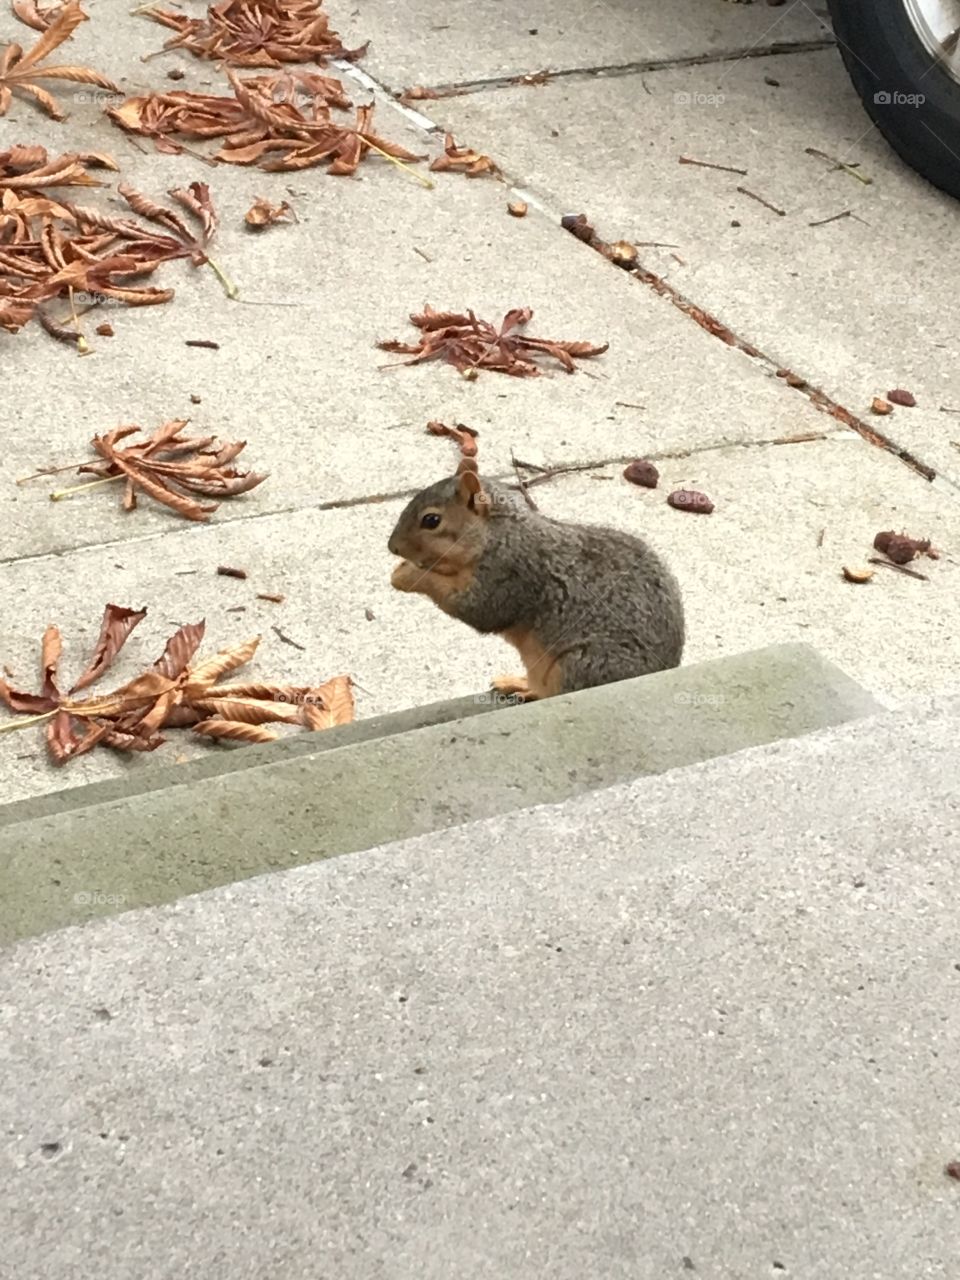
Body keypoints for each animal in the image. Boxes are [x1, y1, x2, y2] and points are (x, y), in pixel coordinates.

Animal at [386, 458, 686, 701]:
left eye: (431, 520)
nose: (393, 547)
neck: (498, 534)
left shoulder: (510, 574)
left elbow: (478, 609)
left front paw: (408, 576)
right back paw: (520, 684)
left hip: (580, 665)